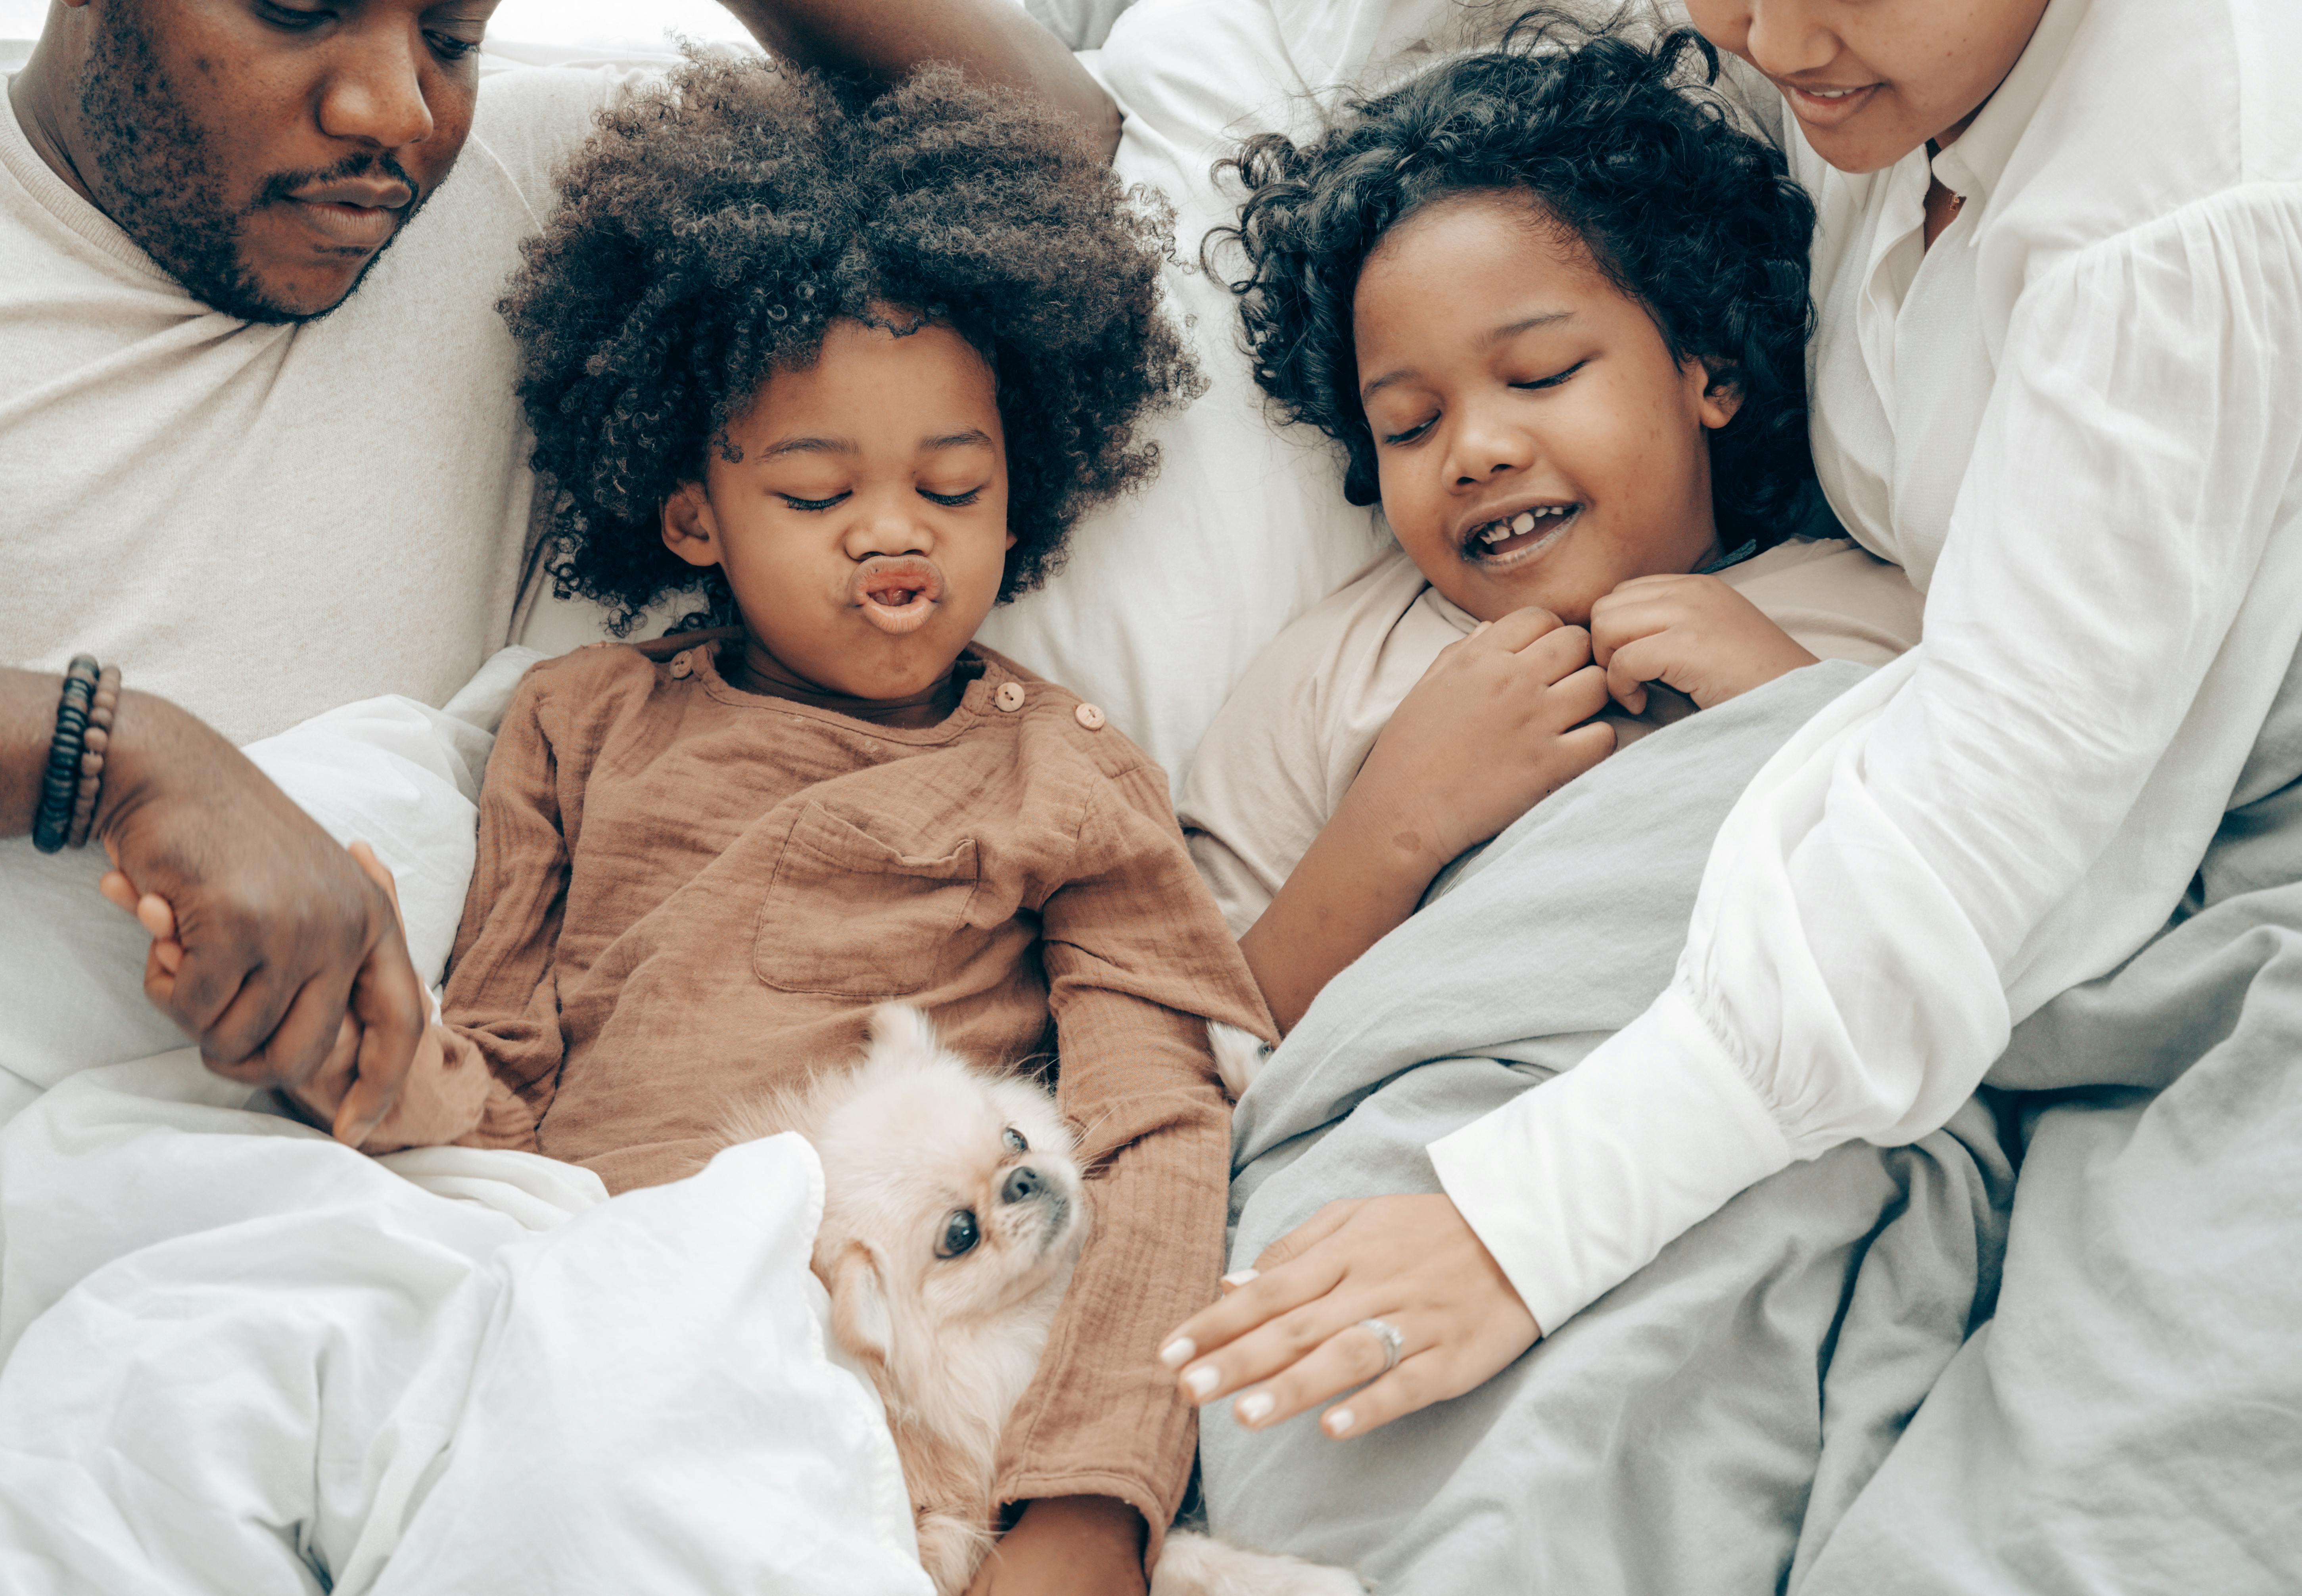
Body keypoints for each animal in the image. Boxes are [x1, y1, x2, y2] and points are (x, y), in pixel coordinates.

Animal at [727, 1009, 1353, 1594]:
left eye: (1015, 1139)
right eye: (960, 1234)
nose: (1024, 1178)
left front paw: (1246, 1062)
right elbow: (1172, 1557)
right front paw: (1304, 1581)